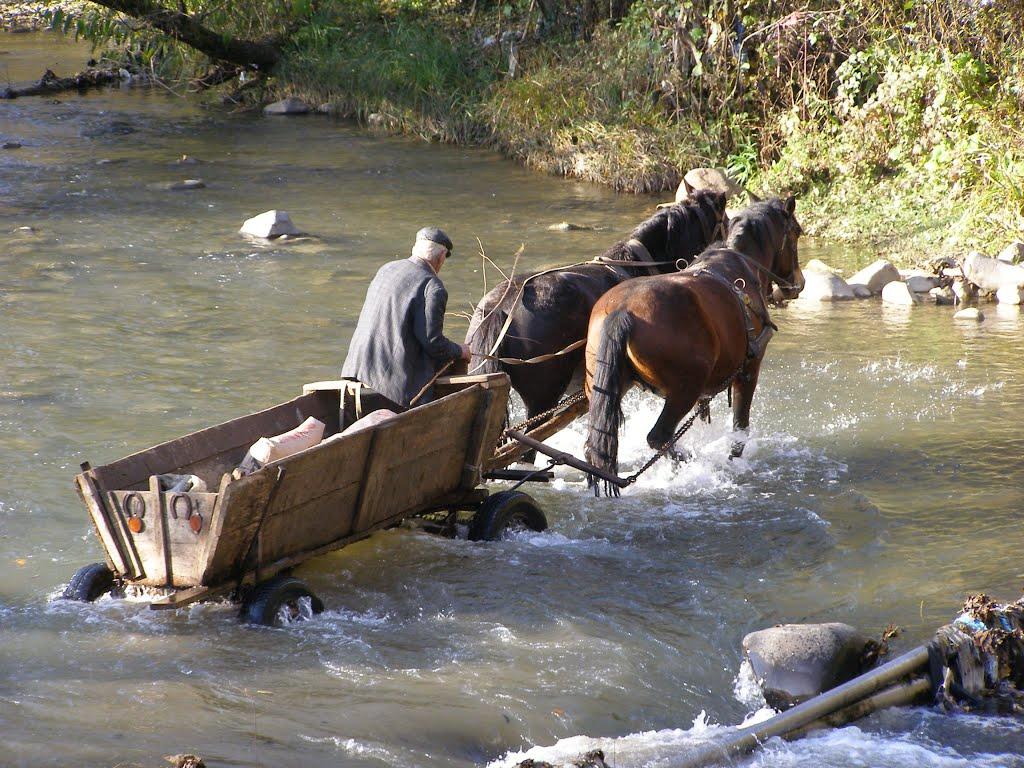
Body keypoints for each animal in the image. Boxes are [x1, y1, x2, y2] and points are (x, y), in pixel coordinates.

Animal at [581, 196, 802, 487]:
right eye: (797, 232)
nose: (798, 282)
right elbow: (740, 428)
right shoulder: (748, 370)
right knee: (659, 437)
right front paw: (733, 461)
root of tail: (622, 311)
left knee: (593, 445)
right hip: (685, 389)